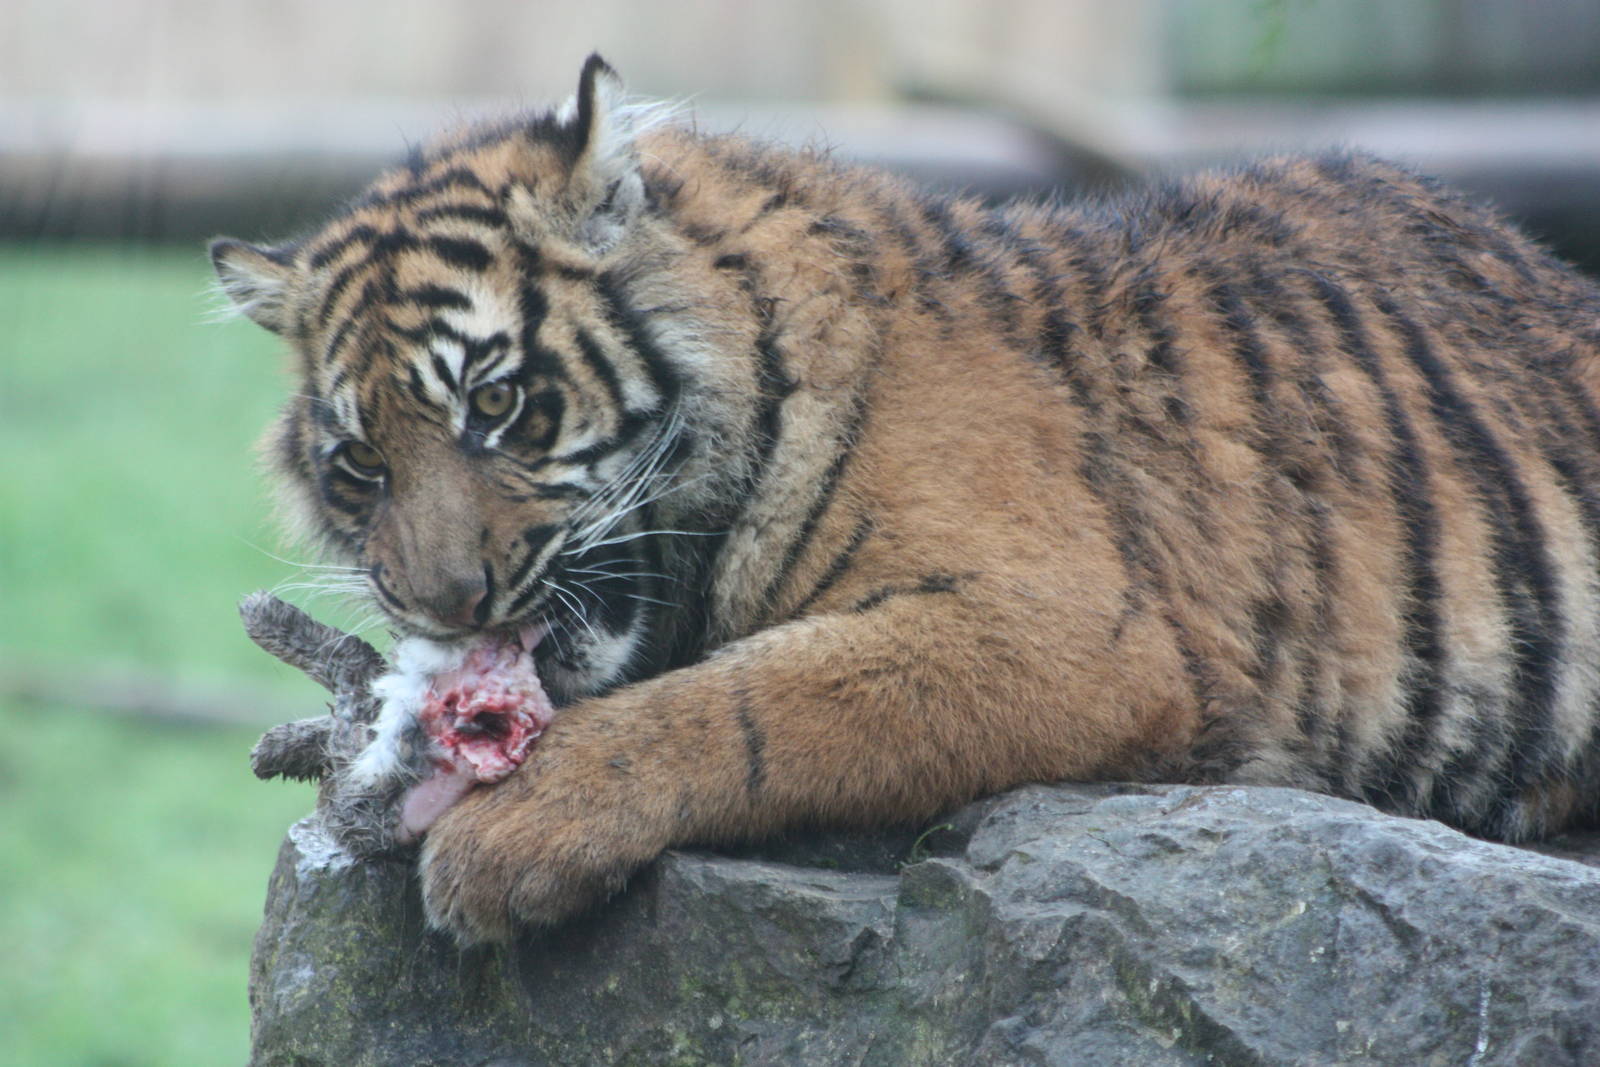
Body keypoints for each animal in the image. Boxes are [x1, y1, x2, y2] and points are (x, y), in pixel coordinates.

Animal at [212, 54, 1600, 944]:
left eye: (496, 404)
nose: (443, 602)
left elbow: (750, 704)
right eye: (360, 466)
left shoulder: (1065, 630)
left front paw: (504, 844)